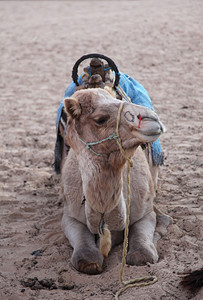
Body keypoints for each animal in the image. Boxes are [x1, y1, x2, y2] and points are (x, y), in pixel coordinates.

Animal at [59, 86, 168, 274]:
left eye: (118, 100)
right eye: (100, 119)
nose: (152, 118)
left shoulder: (146, 213)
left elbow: (142, 255)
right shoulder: (70, 217)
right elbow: (86, 257)